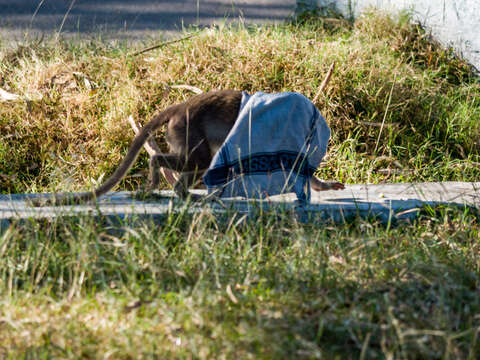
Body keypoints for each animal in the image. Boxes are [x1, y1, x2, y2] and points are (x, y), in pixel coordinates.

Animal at [31, 90, 344, 207]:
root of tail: (180, 107)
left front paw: (322, 185)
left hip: (180, 131)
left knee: (199, 162)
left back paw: (185, 192)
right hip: (186, 128)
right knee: (198, 160)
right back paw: (161, 174)